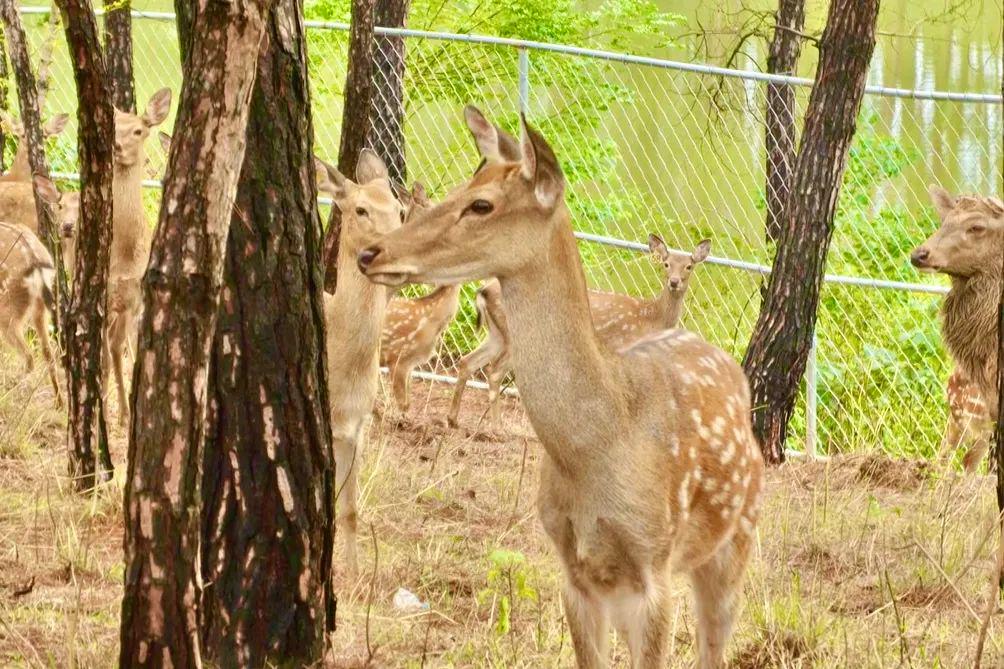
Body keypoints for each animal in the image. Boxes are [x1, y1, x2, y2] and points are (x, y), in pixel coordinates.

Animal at [0, 220, 60, 403]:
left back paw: (10, 391)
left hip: (9, 305)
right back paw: (59, 403)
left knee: (29, 356)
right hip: (40, 308)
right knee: (48, 353)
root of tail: (37, 266)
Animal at [447, 234, 714, 427]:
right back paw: (496, 428)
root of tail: (483, 290)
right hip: (515, 336)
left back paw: (453, 420)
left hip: (496, 333)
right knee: (493, 372)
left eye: (689, 266)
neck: (652, 317)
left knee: (468, 361)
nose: (674, 282)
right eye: (666, 264)